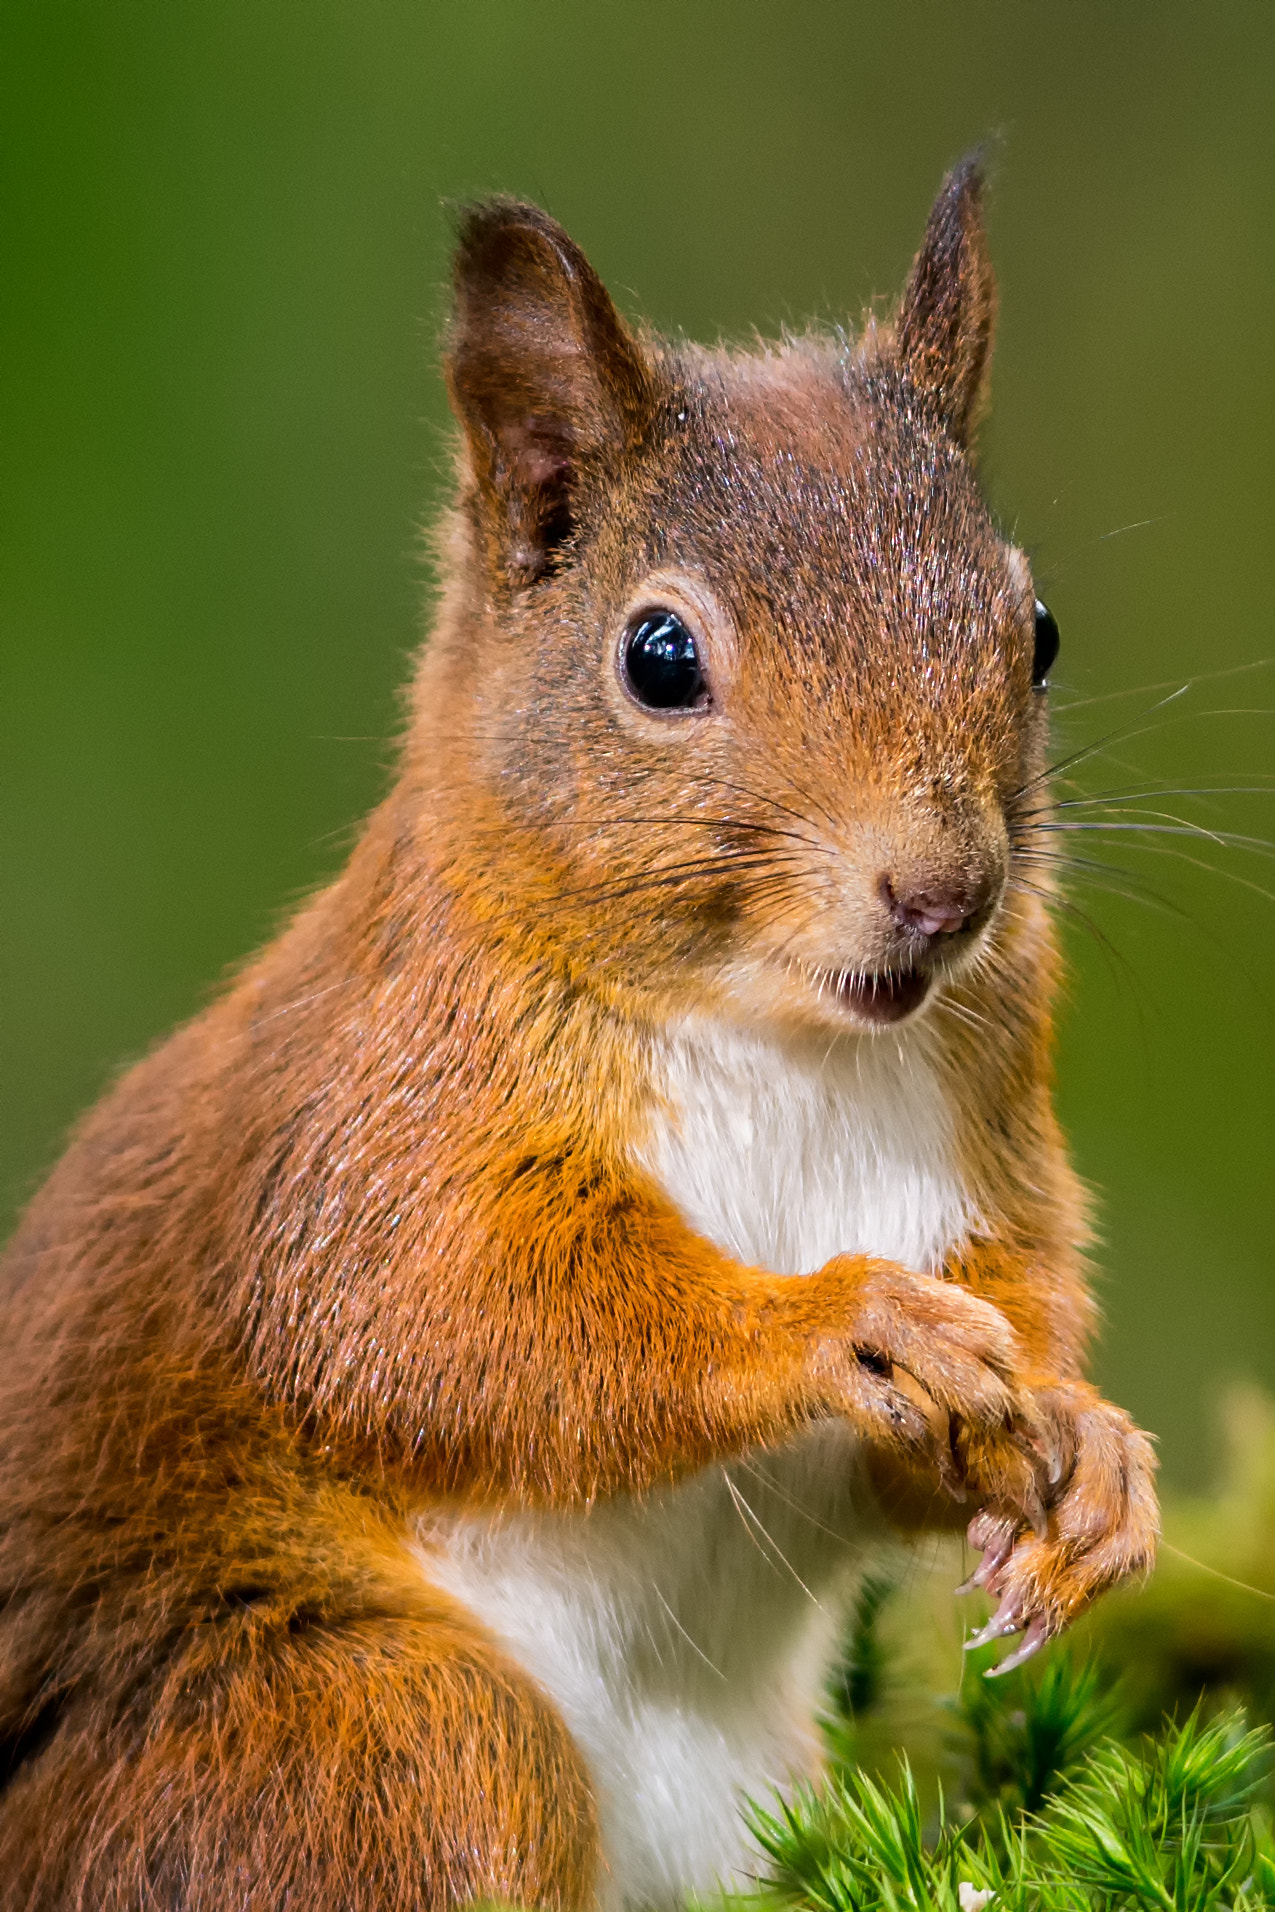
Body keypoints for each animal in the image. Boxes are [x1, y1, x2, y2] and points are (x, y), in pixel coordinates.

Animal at [0, 159, 1158, 1912]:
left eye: (1033, 631)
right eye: (658, 658)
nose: (943, 894)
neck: (784, 1041)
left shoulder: (988, 1146)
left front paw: (1091, 1459)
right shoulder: (372, 1123)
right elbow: (444, 1324)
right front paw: (837, 1325)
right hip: (360, 1730)